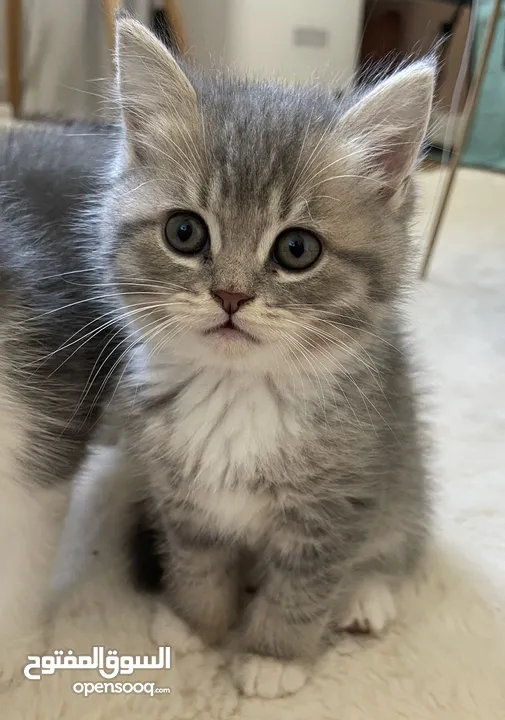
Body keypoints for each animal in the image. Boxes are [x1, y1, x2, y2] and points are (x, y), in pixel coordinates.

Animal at [105, 21, 434, 696]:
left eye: (297, 249)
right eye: (184, 233)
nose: (230, 295)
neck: (238, 393)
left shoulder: (340, 501)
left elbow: (305, 587)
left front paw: (274, 655)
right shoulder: (180, 494)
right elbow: (197, 560)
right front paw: (195, 623)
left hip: (406, 471)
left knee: (397, 544)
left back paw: (366, 594)